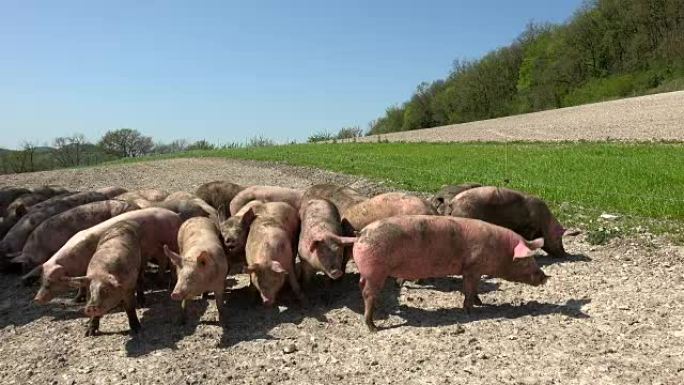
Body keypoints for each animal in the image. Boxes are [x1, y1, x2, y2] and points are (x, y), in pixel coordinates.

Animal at [27, 207, 182, 304]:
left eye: (50, 282)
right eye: (41, 280)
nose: (36, 299)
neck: (73, 263)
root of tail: (175, 215)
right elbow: (81, 286)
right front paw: (75, 300)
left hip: (171, 241)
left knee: (171, 262)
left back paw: (169, 285)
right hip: (156, 247)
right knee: (162, 260)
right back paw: (159, 282)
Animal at [352, 214, 552, 332]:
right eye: (526, 260)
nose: (545, 277)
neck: (500, 250)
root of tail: (360, 234)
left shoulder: (473, 271)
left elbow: (474, 289)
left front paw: (480, 303)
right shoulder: (472, 268)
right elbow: (469, 290)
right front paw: (470, 311)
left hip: (369, 273)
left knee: (363, 288)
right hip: (375, 271)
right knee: (368, 294)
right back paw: (373, 327)